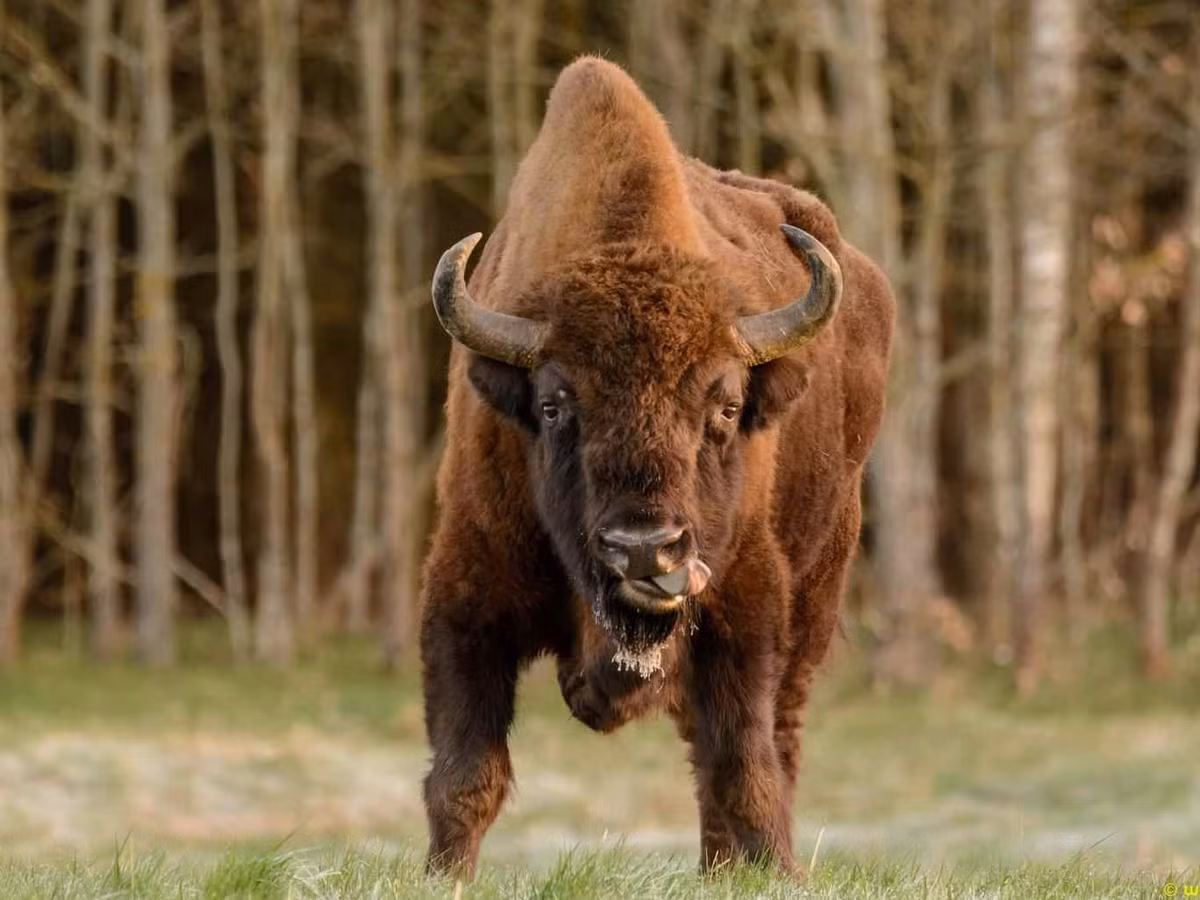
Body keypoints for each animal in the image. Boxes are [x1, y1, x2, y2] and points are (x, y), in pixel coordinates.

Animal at [420, 57, 894, 877]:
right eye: (554, 404)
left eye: (727, 406)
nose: (645, 551)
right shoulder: (464, 593)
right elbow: (464, 775)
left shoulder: (746, 608)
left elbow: (745, 769)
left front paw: (775, 871)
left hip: (818, 588)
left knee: (771, 741)